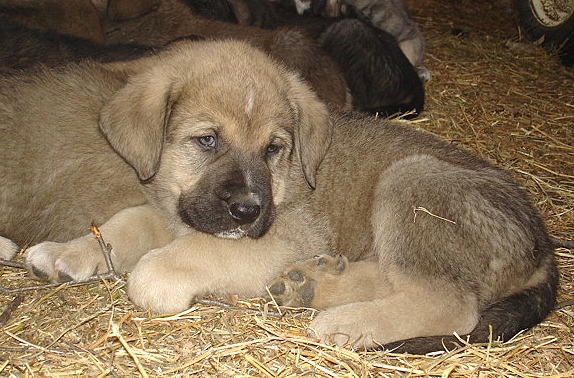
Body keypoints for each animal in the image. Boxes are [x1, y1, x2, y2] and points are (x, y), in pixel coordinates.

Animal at [0, 39, 560, 354]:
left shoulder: (279, 235)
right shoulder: (181, 210)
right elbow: (126, 223)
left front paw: (154, 280)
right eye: (208, 141)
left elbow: (164, 264)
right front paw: (69, 253)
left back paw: (345, 322)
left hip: (414, 180)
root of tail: (544, 246)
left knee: (452, 305)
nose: (249, 210)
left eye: (274, 149)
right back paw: (311, 286)